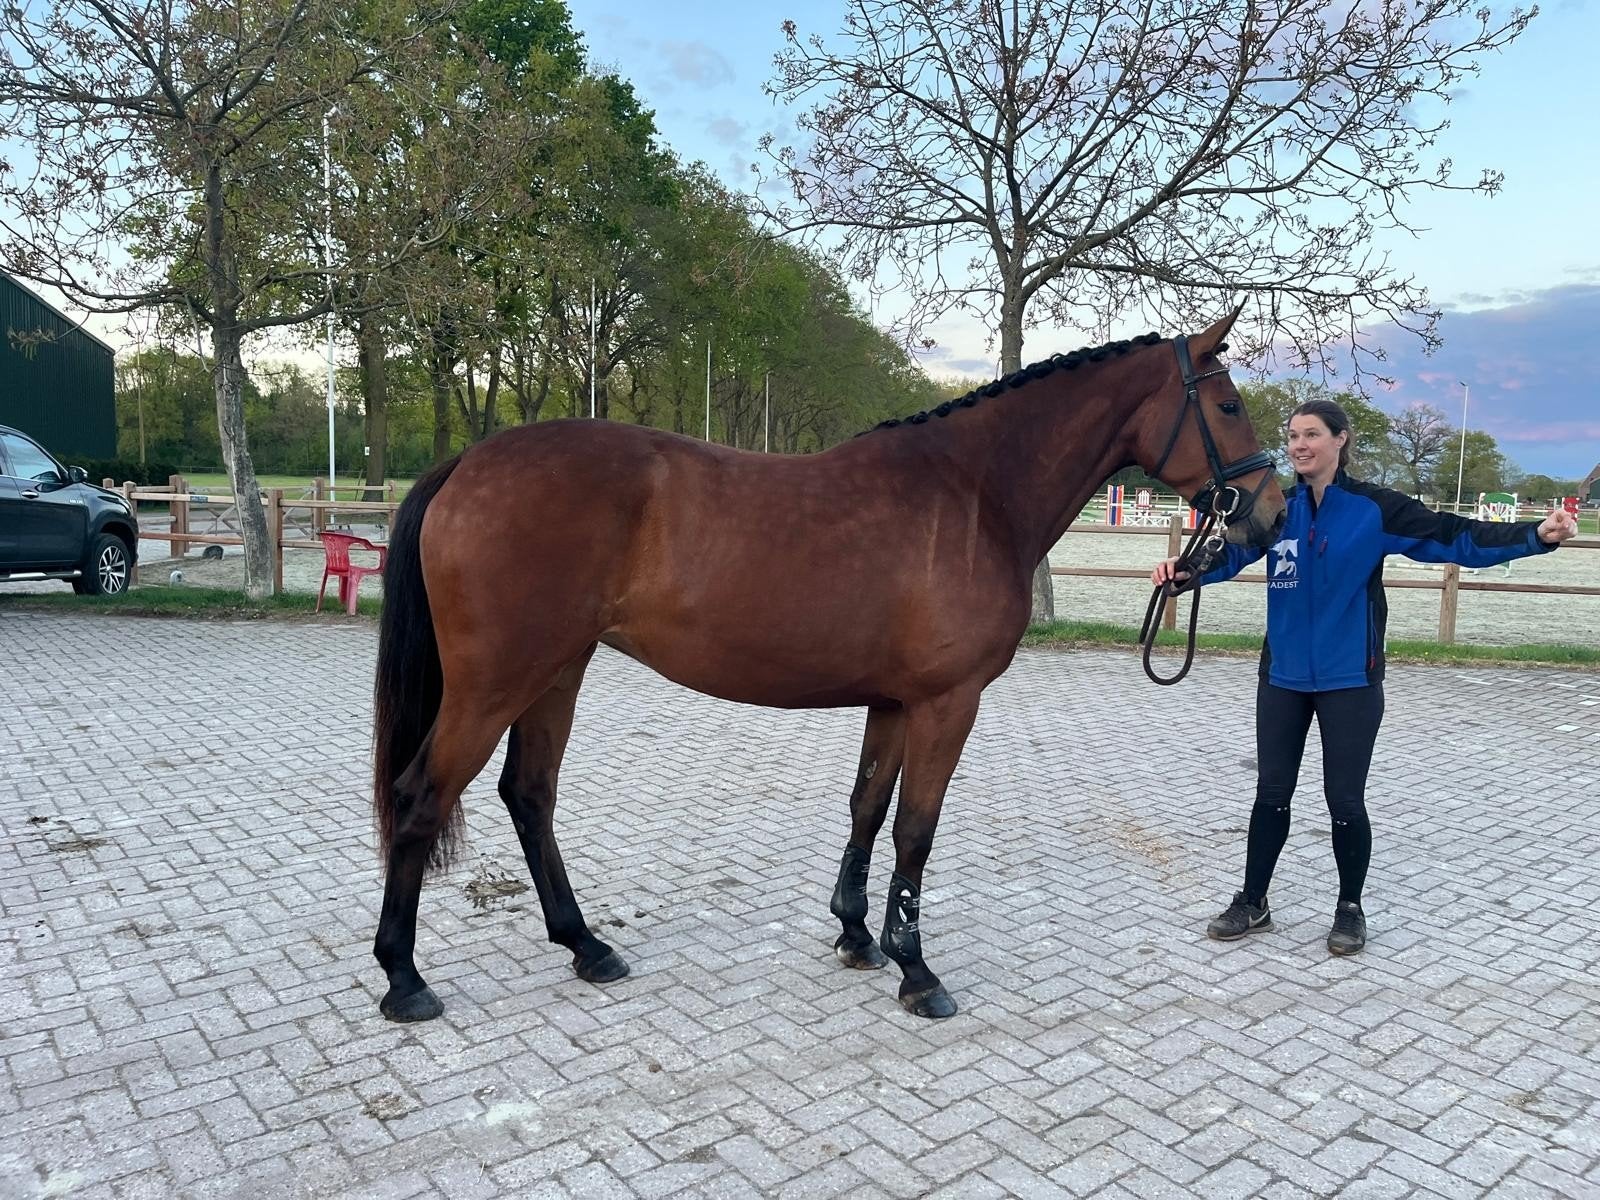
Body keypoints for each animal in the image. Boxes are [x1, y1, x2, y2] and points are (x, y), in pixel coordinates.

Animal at [370, 306, 1287, 1023]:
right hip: (497, 682)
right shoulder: (947, 702)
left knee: (530, 795)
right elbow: (916, 829)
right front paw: (918, 971)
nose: (1272, 515)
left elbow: (868, 810)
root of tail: (470, 463)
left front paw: (854, 935)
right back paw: (405, 980)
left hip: (556, 672)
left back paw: (586, 946)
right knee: (421, 797)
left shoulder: (894, 701)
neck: (975, 494)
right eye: (1230, 403)